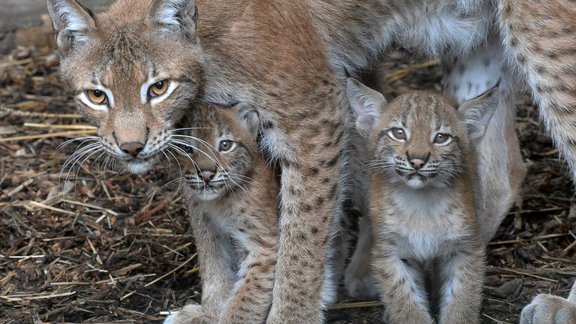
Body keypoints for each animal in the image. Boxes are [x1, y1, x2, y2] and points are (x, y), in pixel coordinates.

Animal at [164, 103, 280, 324]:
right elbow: (214, 268)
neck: (222, 200)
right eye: (187, 148)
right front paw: (208, 314)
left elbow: (245, 299)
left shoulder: (264, 245)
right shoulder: (212, 226)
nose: (207, 174)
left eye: (225, 145)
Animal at [344, 79, 498, 324]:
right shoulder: (392, 252)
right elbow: (405, 304)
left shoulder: (464, 247)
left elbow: (462, 301)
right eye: (398, 133)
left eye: (441, 137)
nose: (417, 160)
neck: (421, 201)